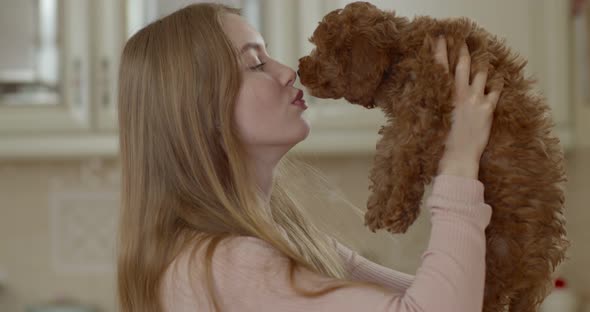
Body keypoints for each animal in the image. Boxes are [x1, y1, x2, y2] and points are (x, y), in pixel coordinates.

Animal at [298, 2, 572, 312]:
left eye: (321, 50)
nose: (298, 68)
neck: (401, 51)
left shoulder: (427, 110)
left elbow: (405, 158)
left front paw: (395, 211)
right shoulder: (404, 119)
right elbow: (387, 157)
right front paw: (379, 206)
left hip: (498, 263)